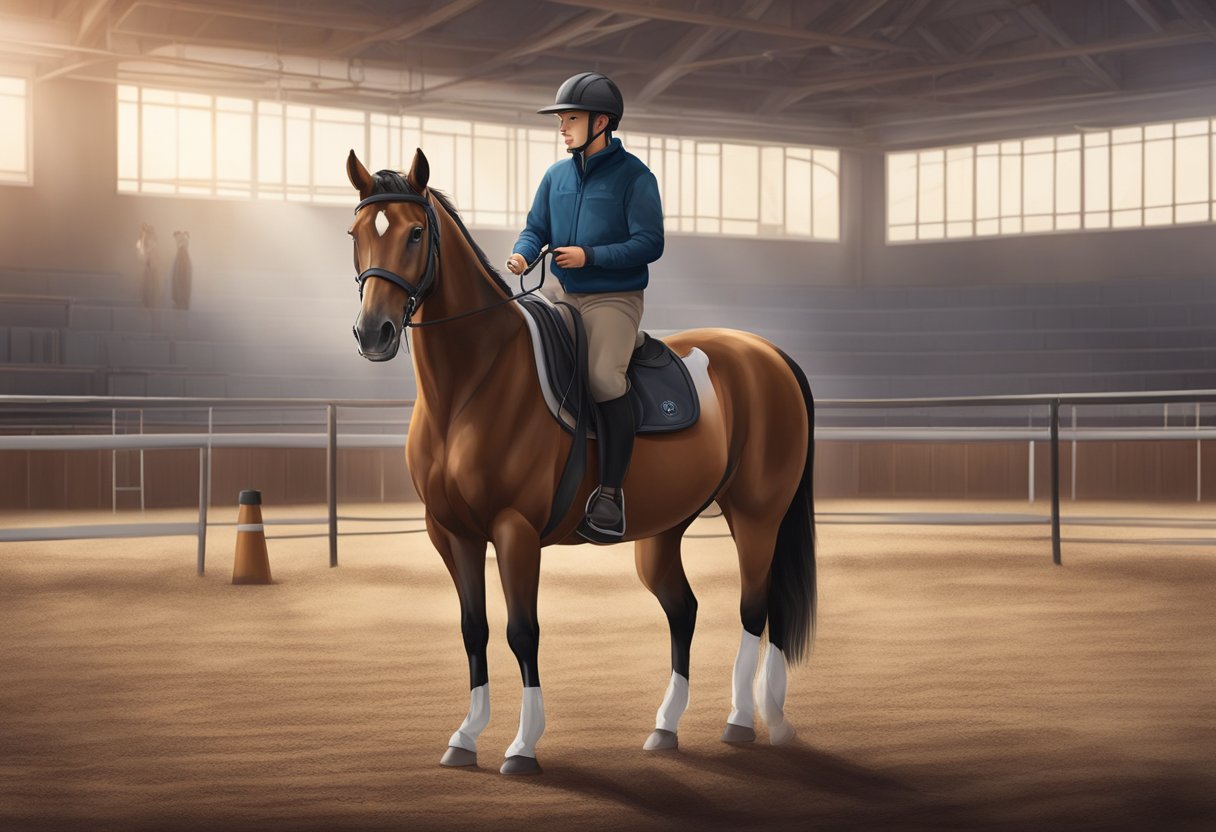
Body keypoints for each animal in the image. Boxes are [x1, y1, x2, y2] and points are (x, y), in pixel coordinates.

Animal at [345, 147, 817, 773]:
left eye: (416, 233)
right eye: (356, 233)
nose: (373, 333)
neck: (473, 385)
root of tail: (770, 353)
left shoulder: (514, 530)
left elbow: (523, 631)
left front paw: (522, 746)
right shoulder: (451, 532)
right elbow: (474, 629)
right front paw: (465, 736)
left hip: (758, 516)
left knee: (754, 608)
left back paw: (747, 720)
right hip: (665, 530)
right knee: (685, 609)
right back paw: (667, 727)